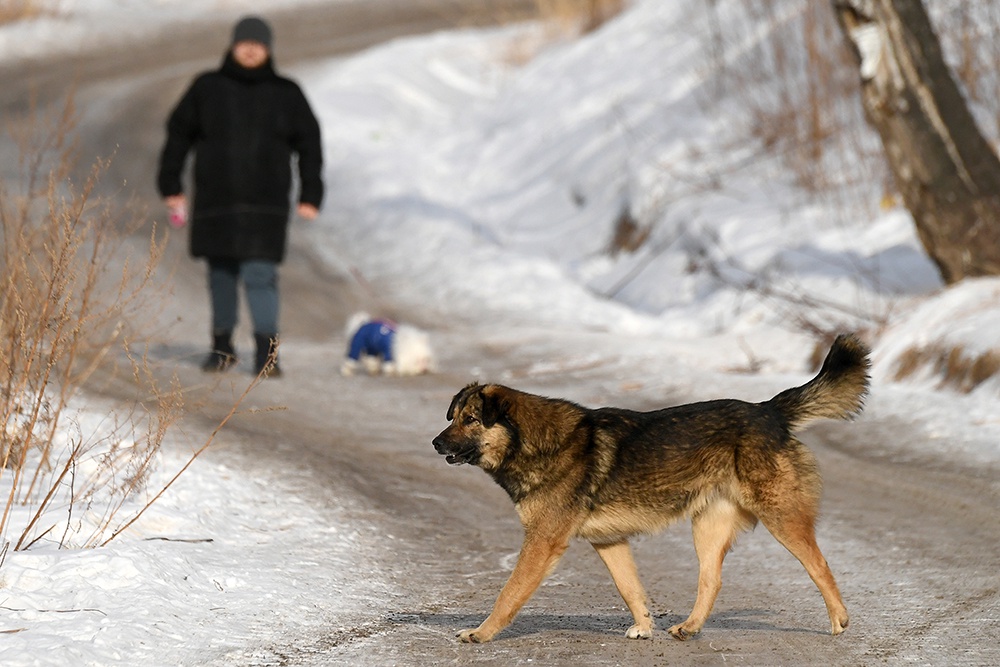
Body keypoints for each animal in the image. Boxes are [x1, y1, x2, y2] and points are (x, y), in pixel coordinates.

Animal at [434, 334, 872, 640]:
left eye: (471, 419)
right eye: (453, 417)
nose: (436, 443)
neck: (533, 441)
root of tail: (769, 411)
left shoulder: (542, 543)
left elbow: (508, 595)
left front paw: (480, 633)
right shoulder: (608, 541)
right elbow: (630, 589)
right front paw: (645, 627)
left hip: (781, 517)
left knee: (819, 564)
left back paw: (839, 619)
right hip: (708, 528)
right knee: (712, 580)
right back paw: (690, 628)